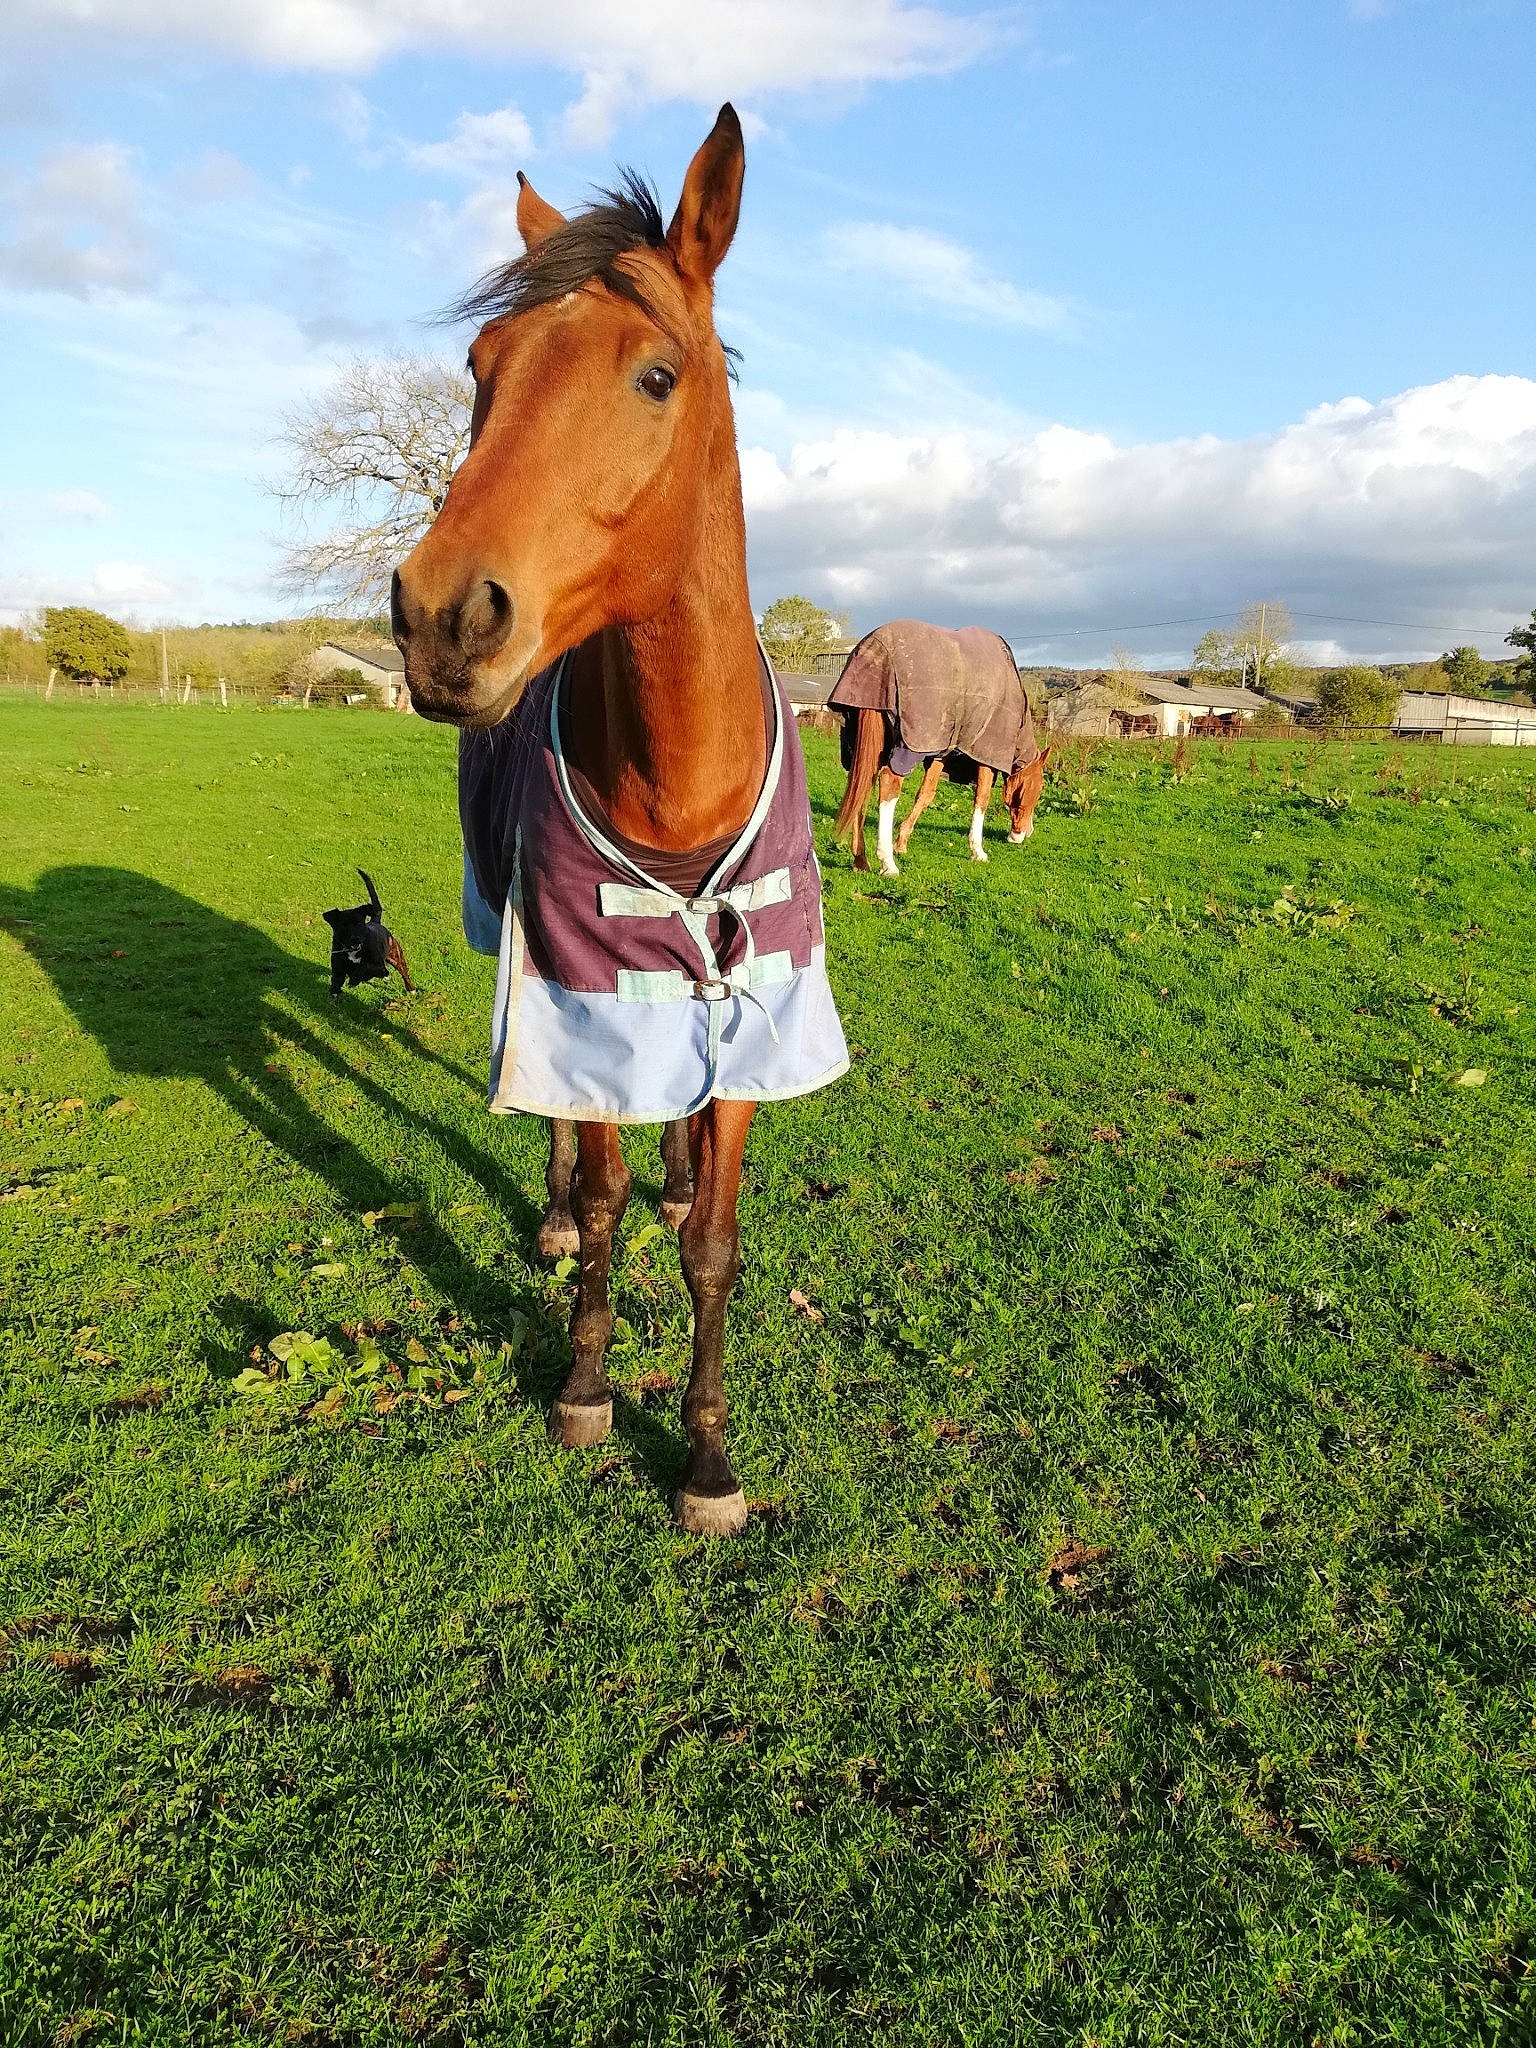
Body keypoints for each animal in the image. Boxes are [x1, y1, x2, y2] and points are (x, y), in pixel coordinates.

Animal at [391, 107, 849, 1537]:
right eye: (481, 367)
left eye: (656, 375)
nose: (440, 615)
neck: (677, 780)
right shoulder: (575, 985)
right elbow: (595, 1193)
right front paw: (589, 1383)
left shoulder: (766, 1002)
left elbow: (713, 1238)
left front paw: (706, 1453)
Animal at [830, 619, 1051, 876]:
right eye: (1040, 787)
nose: (1023, 834)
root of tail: (875, 652)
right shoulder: (985, 755)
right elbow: (982, 799)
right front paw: (978, 851)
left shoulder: (941, 753)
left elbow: (926, 794)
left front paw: (902, 842)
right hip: (906, 749)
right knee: (887, 784)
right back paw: (887, 863)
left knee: (861, 785)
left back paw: (861, 860)